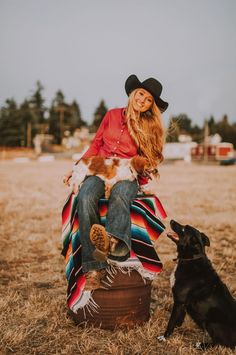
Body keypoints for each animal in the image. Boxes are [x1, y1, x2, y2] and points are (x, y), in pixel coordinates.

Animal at [158, 221, 236, 350]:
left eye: (184, 229)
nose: (172, 220)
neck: (190, 258)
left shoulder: (179, 302)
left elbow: (171, 321)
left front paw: (164, 337)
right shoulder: (181, 304)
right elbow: (178, 319)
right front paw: (177, 328)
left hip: (211, 323)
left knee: (219, 343)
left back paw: (200, 345)